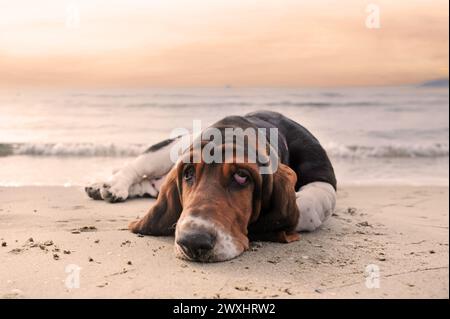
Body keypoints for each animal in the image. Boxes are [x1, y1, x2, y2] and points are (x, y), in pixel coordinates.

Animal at [86, 112, 336, 262]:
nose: (192, 241)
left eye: (242, 177)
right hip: (172, 147)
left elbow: (305, 208)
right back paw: (110, 186)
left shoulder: (324, 178)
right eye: (188, 173)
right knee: (135, 167)